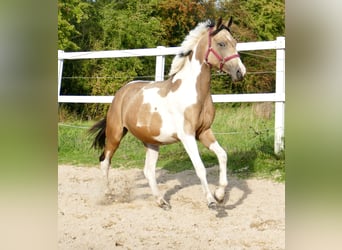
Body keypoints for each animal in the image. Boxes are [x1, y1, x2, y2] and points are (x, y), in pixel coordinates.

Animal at [89, 16, 246, 210]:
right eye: (221, 43)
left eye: (235, 42)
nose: (240, 72)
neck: (193, 92)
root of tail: (121, 92)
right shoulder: (187, 136)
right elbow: (200, 167)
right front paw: (211, 201)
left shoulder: (204, 132)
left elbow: (223, 155)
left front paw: (220, 195)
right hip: (115, 133)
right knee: (105, 161)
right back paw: (108, 195)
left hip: (151, 141)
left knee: (148, 171)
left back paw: (161, 201)